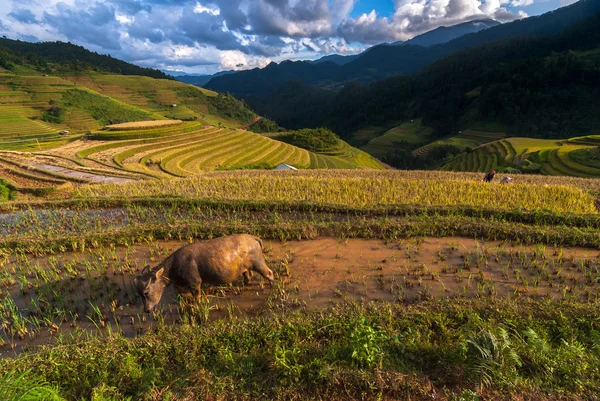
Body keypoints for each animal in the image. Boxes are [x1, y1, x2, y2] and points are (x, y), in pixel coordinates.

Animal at [134, 234, 274, 312]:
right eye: (139, 294)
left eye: (146, 293)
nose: (146, 310)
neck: (174, 267)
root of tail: (254, 238)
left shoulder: (195, 283)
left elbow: (197, 298)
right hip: (245, 268)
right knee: (248, 276)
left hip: (259, 264)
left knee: (269, 273)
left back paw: (273, 286)